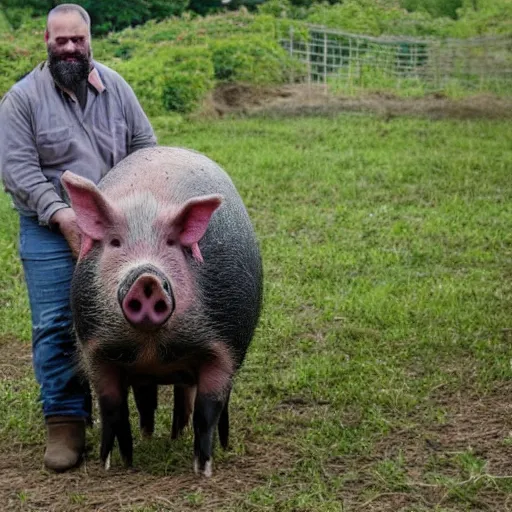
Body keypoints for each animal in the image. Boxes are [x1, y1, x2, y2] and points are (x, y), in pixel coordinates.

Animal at [61, 145, 264, 476]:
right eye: (115, 242)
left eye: (171, 243)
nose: (147, 277)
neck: (152, 344)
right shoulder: (94, 347)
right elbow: (111, 407)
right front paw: (114, 463)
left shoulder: (226, 343)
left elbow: (208, 408)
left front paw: (202, 469)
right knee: (148, 394)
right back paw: (153, 434)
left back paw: (207, 441)